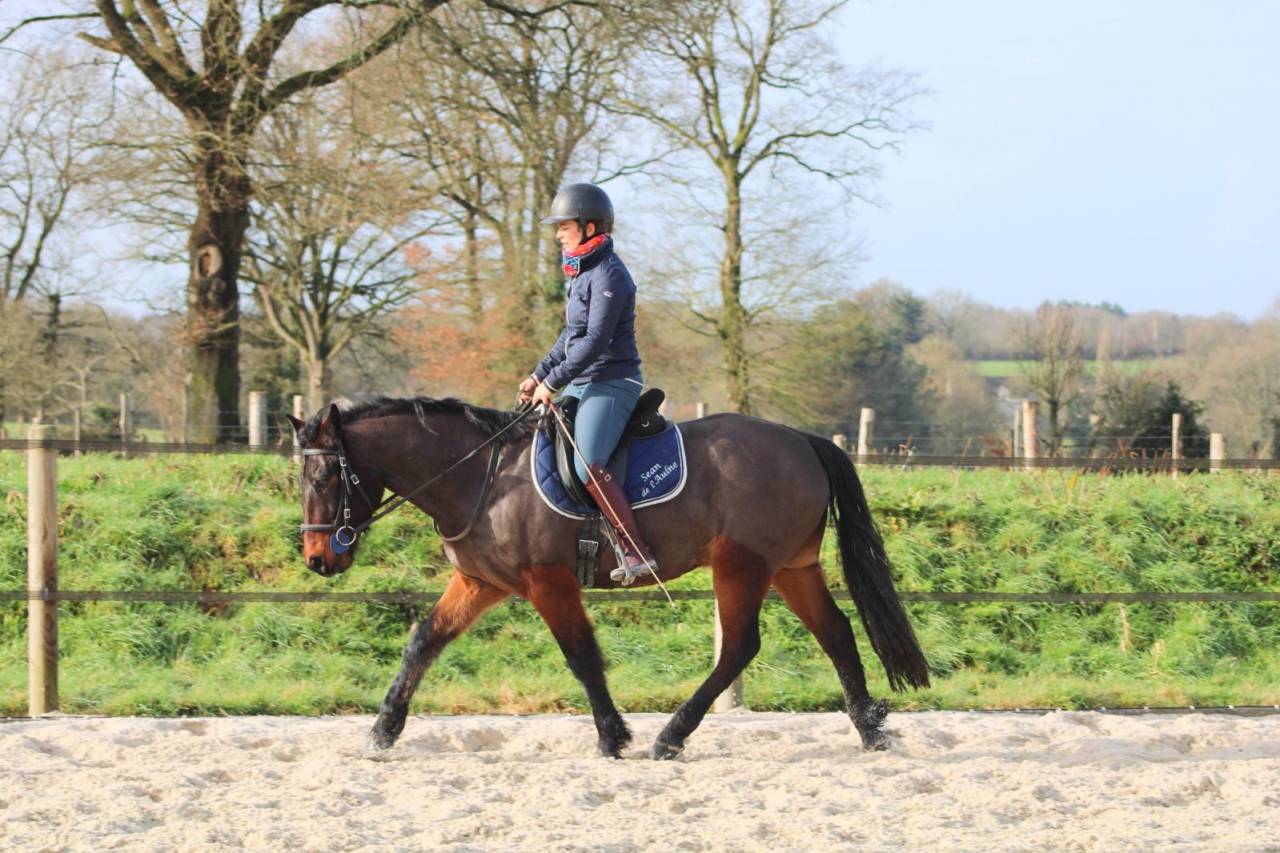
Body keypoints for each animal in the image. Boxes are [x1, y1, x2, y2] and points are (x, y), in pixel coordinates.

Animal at [286, 396, 929, 759]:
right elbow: (423, 642)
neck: (482, 477)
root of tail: (801, 440)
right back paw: (870, 728)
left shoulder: (548, 582)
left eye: (323, 478)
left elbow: (581, 657)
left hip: (741, 565)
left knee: (740, 647)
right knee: (836, 633)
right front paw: (382, 731)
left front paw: (612, 736)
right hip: (792, 566)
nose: (318, 560)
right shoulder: (479, 583)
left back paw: (671, 736)